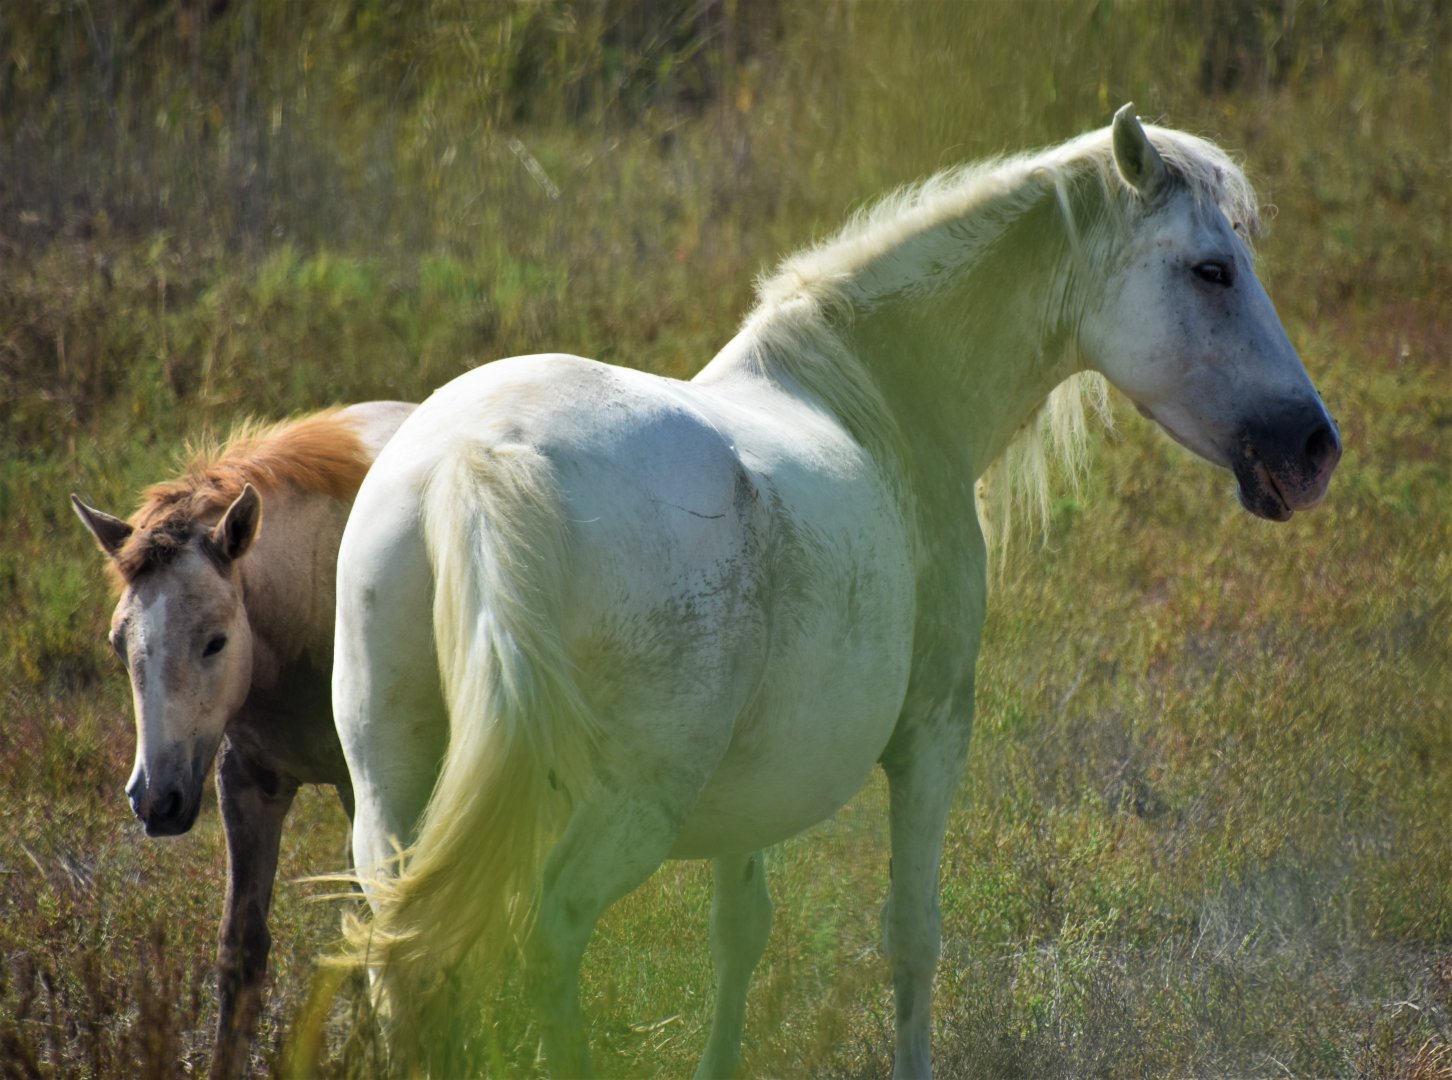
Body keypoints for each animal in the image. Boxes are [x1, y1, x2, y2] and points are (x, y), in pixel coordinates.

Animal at [71, 400, 414, 1080]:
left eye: (215, 641)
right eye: (119, 644)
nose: (155, 800)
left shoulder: (360, 789)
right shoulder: (248, 785)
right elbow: (242, 949)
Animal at [330, 106, 1340, 1078]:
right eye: (1213, 270)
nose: (1315, 447)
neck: (874, 392)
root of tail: (481, 456)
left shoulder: (750, 796)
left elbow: (740, 932)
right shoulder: (934, 734)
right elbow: (912, 937)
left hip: (390, 799)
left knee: (402, 956)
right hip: (624, 813)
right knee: (546, 943)